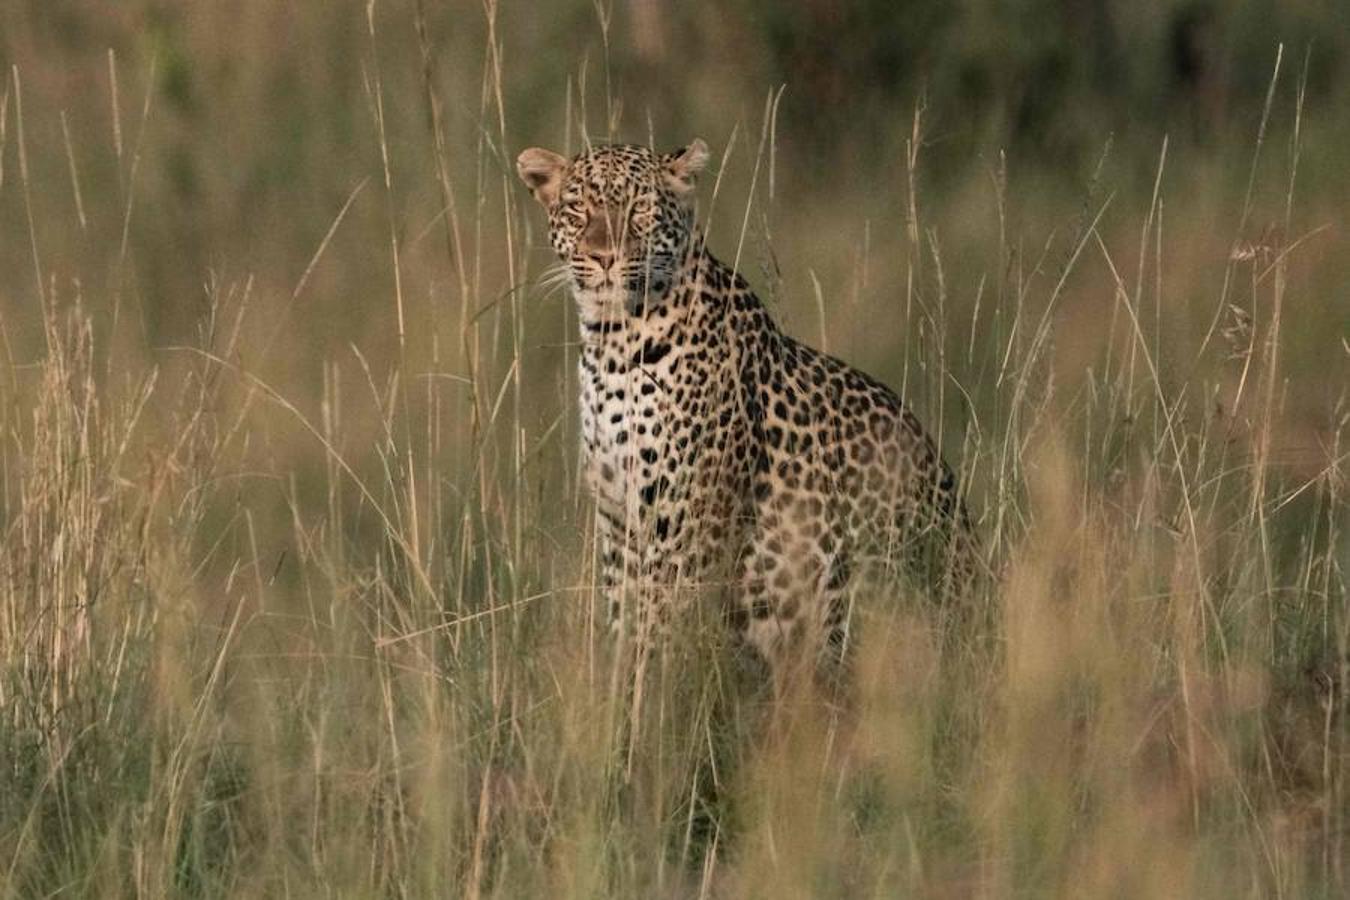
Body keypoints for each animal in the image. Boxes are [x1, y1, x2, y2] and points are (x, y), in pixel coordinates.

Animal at [518, 138, 982, 690]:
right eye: (577, 209)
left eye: (640, 210)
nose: (604, 257)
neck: (612, 345)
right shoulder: (619, 524)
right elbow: (624, 628)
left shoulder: (688, 521)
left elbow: (659, 632)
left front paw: (649, 702)